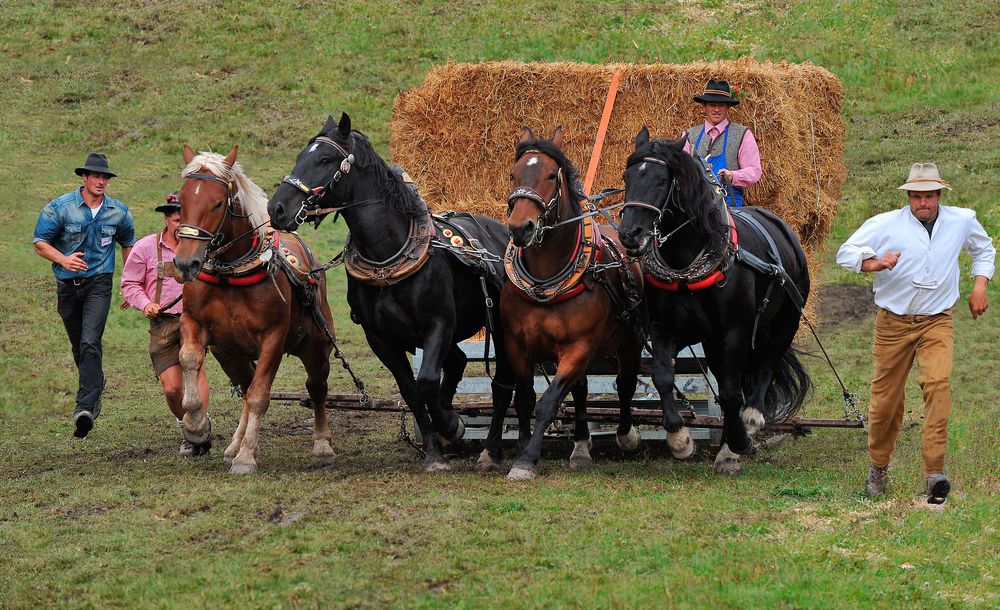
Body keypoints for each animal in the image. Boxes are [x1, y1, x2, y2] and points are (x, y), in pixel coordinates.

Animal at [174, 145, 338, 472]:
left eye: (217, 204)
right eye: (182, 200)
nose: (186, 263)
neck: (231, 274)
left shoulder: (273, 339)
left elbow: (261, 395)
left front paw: (247, 456)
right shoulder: (192, 321)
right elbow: (189, 359)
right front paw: (196, 426)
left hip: (316, 347)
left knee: (316, 388)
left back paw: (322, 443)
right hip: (230, 355)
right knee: (245, 387)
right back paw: (234, 444)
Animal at [266, 111, 516, 468]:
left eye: (325, 159)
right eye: (301, 155)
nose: (277, 208)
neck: (387, 254)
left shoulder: (439, 324)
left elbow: (427, 382)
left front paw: (450, 425)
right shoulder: (381, 338)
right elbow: (412, 391)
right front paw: (436, 448)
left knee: (503, 385)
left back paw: (491, 449)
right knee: (456, 363)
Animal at [498, 127, 644, 480]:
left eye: (552, 175)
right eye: (513, 174)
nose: (521, 228)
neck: (545, 282)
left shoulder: (578, 346)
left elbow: (549, 402)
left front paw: (527, 460)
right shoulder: (516, 345)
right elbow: (525, 400)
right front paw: (521, 449)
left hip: (629, 341)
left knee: (625, 385)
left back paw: (626, 434)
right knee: (581, 390)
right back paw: (580, 446)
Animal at [616, 127, 812, 470]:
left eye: (661, 180)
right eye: (627, 177)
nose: (629, 233)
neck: (685, 261)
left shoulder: (735, 332)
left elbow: (733, 393)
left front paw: (738, 441)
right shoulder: (667, 329)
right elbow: (663, 376)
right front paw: (679, 437)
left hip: (785, 320)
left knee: (765, 365)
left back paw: (748, 423)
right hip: (713, 342)